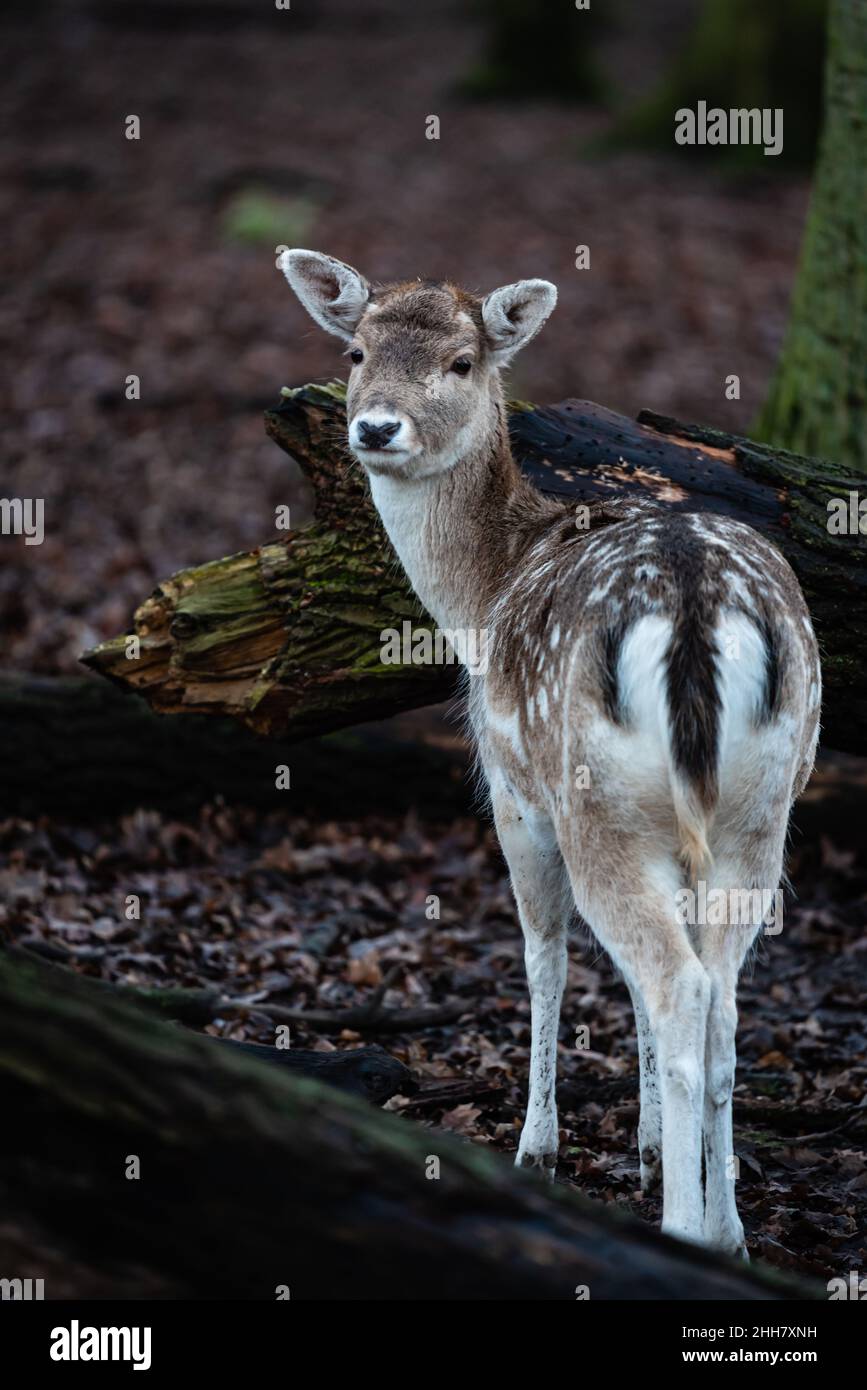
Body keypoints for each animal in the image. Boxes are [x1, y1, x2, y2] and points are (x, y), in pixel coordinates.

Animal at [279, 250, 821, 1256]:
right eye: (355, 350)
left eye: (460, 362)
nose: (375, 427)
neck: (480, 594)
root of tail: (694, 605)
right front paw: (645, 1146)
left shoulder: (511, 787)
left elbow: (545, 956)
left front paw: (539, 1148)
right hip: (760, 808)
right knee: (718, 999)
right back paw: (727, 1230)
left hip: (595, 799)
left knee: (676, 984)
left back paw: (681, 1231)